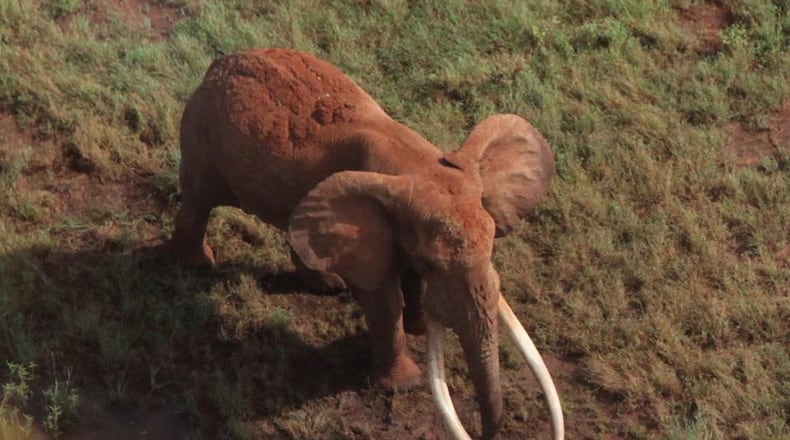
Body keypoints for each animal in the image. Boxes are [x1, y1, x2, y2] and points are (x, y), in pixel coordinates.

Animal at [167, 48, 563, 440]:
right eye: (430, 262)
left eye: (492, 247)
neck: (415, 162)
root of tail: (218, 64)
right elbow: (382, 297)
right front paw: (404, 384)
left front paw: (419, 328)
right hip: (201, 136)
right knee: (199, 199)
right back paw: (196, 265)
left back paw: (326, 286)